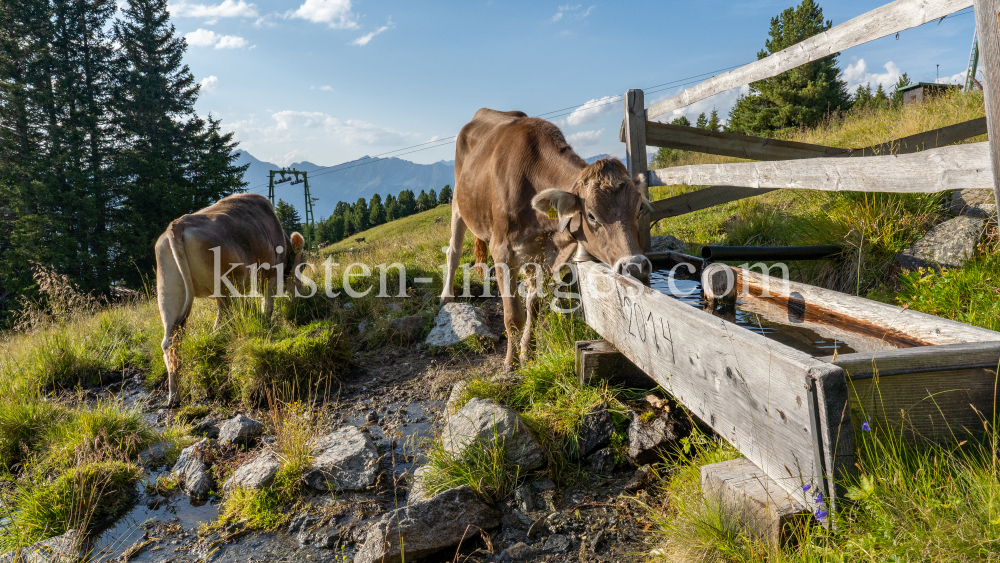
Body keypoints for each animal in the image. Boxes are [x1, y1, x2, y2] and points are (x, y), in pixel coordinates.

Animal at [444, 108, 648, 372]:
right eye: (592, 215)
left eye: (639, 208)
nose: (636, 266)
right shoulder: (501, 251)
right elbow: (513, 316)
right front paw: (510, 363)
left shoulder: (546, 255)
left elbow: (534, 304)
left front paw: (527, 353)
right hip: (458, 205)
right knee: (453, 251)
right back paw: (447, 296)